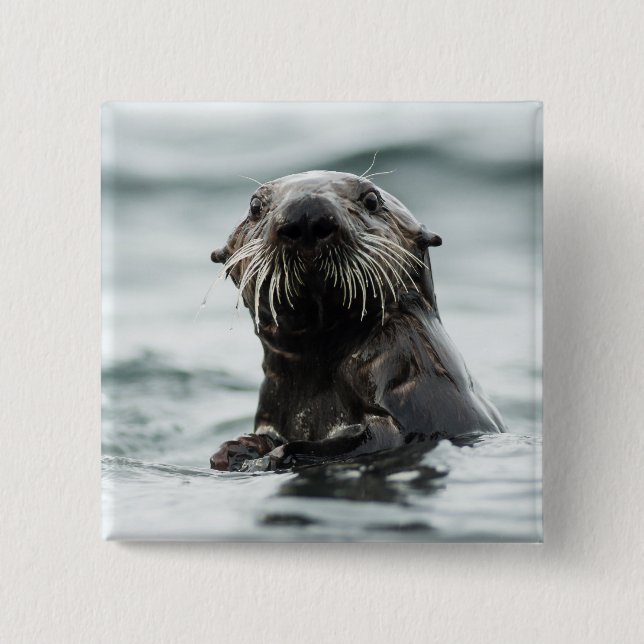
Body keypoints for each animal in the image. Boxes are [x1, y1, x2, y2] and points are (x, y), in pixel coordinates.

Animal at [209, 171, 504, 472]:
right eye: (255, 206)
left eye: (371, 200)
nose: (306, 214)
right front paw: (236, 449)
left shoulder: (409, 373)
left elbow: (377, 438)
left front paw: (276, 455)